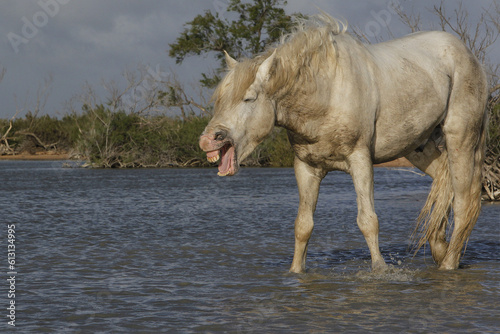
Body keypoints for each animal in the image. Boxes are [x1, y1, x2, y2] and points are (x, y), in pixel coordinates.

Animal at [199, 14, 488, 272]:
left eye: (249, 98)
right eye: (219, 99)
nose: (208, 140)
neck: (325, 93)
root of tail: (466, 53)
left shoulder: (360, 160)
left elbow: (368, 221)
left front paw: (380, 270)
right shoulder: (306, 167)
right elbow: (303, 226)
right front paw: (295, 272)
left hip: (461, 138)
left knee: (464, 201)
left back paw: (449, 265)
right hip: (419, 147)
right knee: (443, 182)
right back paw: (440, 250)